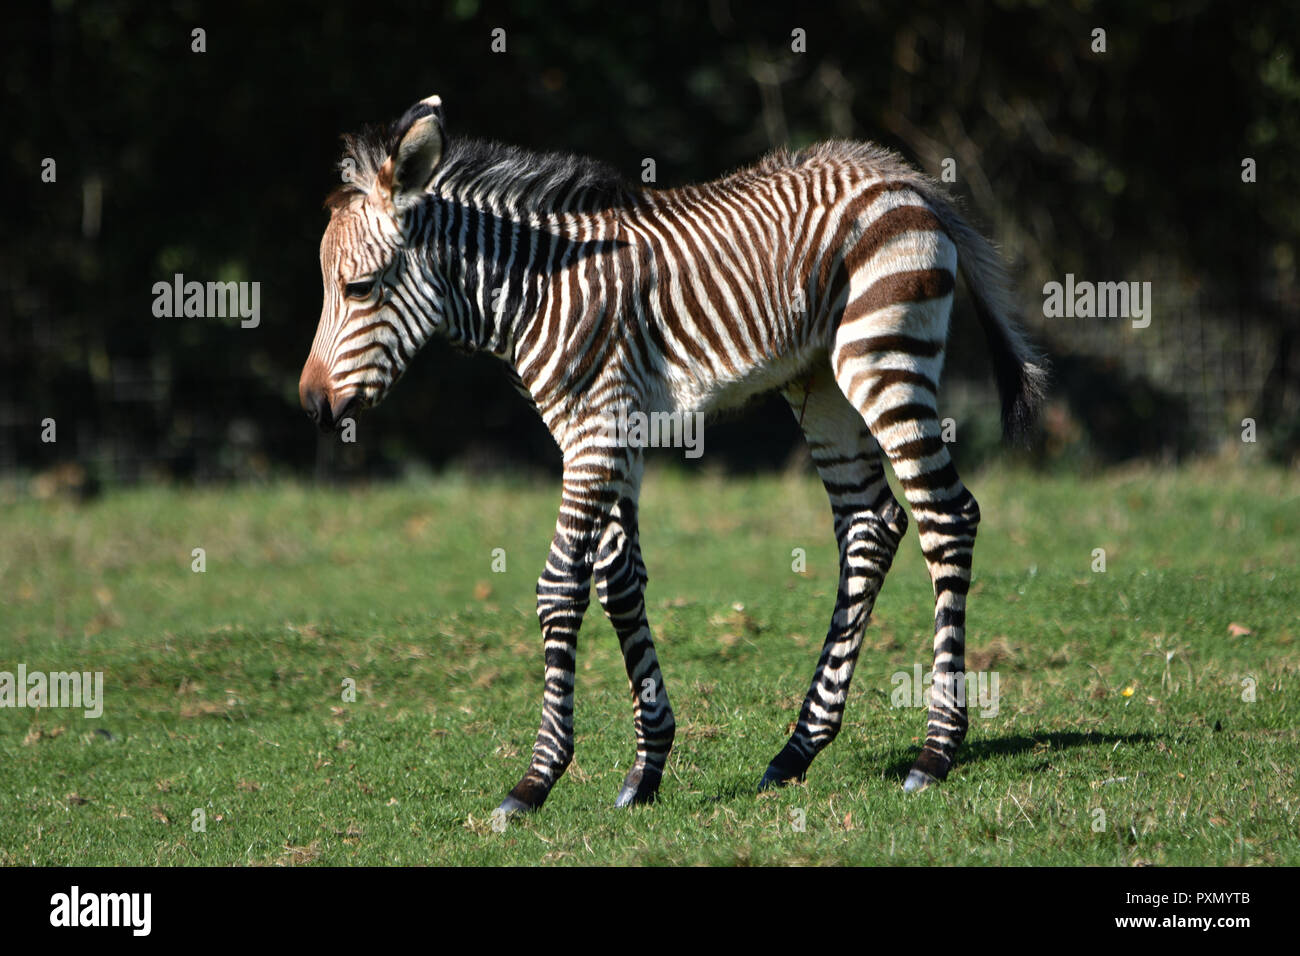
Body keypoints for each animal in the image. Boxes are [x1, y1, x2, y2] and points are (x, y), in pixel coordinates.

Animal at [301, 95, 1045, 816]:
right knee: (871, 526)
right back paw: (798, 749)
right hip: (822, 384)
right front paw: (646, 768)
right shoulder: (610, 435)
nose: (311, 408)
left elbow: (560, 587)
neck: (539, 294)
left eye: (359, 288)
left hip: (884, 357)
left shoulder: (595, 431)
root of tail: (903, 176)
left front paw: (536, 780)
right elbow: (621, 583)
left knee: (946, 518)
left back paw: (936, 751)